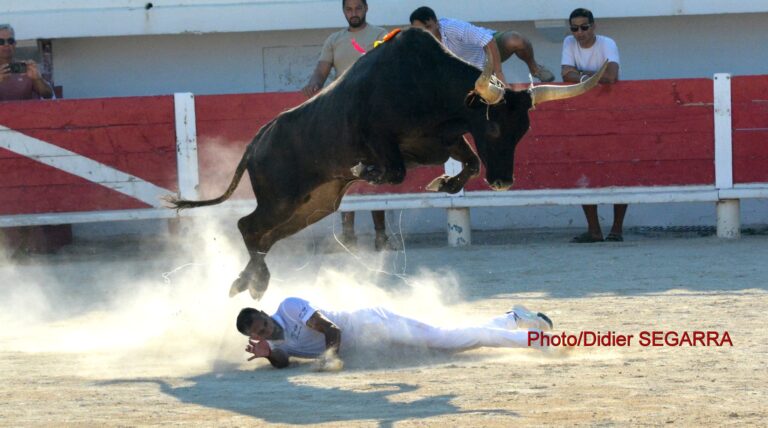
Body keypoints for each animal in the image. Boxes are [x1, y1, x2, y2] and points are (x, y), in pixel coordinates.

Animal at [168, 27, 608, 300]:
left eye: (523, 132)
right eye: (496, 128)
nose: (503, 182)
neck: (427, 85)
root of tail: (256, 141)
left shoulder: (442, 141)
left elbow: (466, 165)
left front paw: (443, 185)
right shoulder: (382, 141)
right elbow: (393, 171)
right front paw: (367, 171)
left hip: (311, 207)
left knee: (263, 236)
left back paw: (247, 282)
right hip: (281, 199)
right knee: (249, 226)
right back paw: (254, 283)